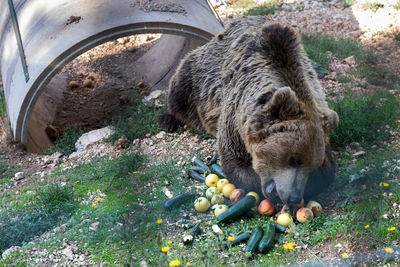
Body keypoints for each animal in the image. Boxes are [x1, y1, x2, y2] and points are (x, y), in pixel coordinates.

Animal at [159, 17, 338, 207]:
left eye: (310, 166)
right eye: (293, 159)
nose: (293, 197)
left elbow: (327, 170)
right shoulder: (235, 117)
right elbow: (234, 162)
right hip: (197, 75)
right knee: (179, 91)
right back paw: (168, 119)